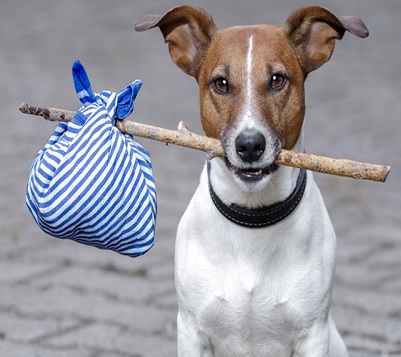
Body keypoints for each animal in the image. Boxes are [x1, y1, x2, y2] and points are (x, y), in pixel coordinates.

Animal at [136, 5, 368, 356]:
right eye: (220, 83)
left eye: (277, 80)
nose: (249, 145)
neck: (252, 220)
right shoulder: (191, 330)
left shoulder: (314, 334)